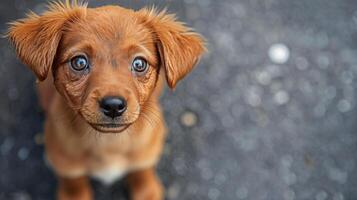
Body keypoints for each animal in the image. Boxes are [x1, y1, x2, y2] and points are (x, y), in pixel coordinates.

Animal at [6, 0, 204, 199]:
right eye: (79, 62)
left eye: (139, 64)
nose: (114, 106)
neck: (108, 143)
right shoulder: (66, 166)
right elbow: (74, 183)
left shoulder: (145, 155)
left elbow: (142, 172)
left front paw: (146, 187)